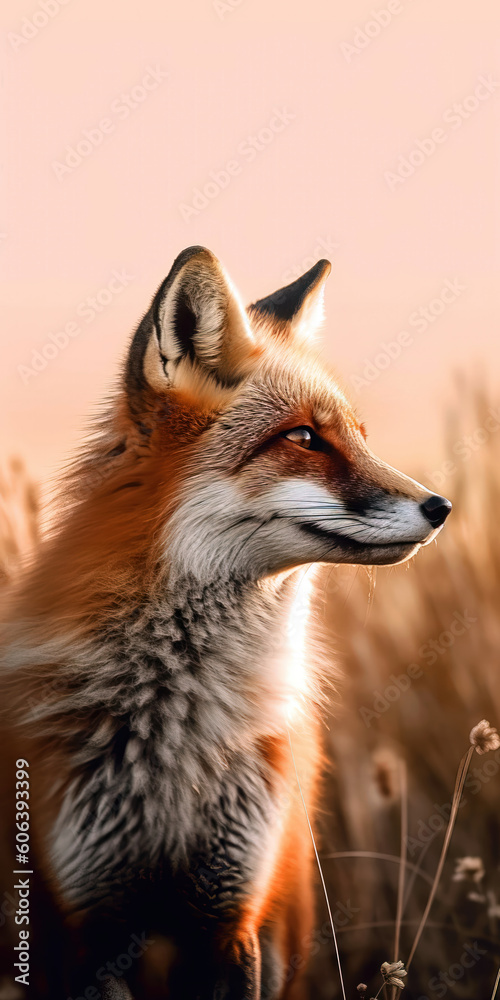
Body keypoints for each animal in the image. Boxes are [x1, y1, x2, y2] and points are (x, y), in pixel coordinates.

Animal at [0, 246, 451, 1000]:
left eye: (360, 437)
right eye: (304, 438)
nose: (442, 506)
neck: (176, 722)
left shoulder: (229, 918)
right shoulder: (86, 928)